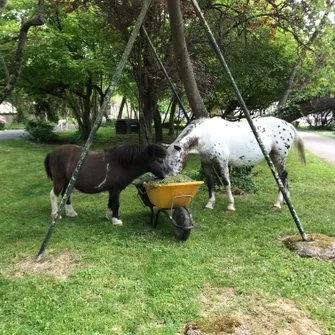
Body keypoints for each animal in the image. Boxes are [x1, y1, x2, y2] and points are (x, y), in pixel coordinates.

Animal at [45, 144, 173, 226]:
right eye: (160, 160)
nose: (170, 175)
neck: (120, 164)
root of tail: (52, 153)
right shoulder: (116, 189)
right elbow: (116, 204)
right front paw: (116, 220)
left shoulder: (112, 190)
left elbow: (110, 202)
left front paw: (109, 216)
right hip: (60, 180)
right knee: (53, 195)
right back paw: (55, 215)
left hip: (68, 181)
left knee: (65, 194)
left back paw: (70, 213)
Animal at [167, 118, 306, 211]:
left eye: (178, 160)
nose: (172, 178)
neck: (207, 136)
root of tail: (288, 124)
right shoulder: (206, 164)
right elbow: (210, 183)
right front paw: (210, 204)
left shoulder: (222, 162)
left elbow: (226, 183)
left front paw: (230, 206)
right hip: (273, 156)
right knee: (283, 177)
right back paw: (284, 201)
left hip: (279, 156)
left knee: (283, 176)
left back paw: (277, 203)